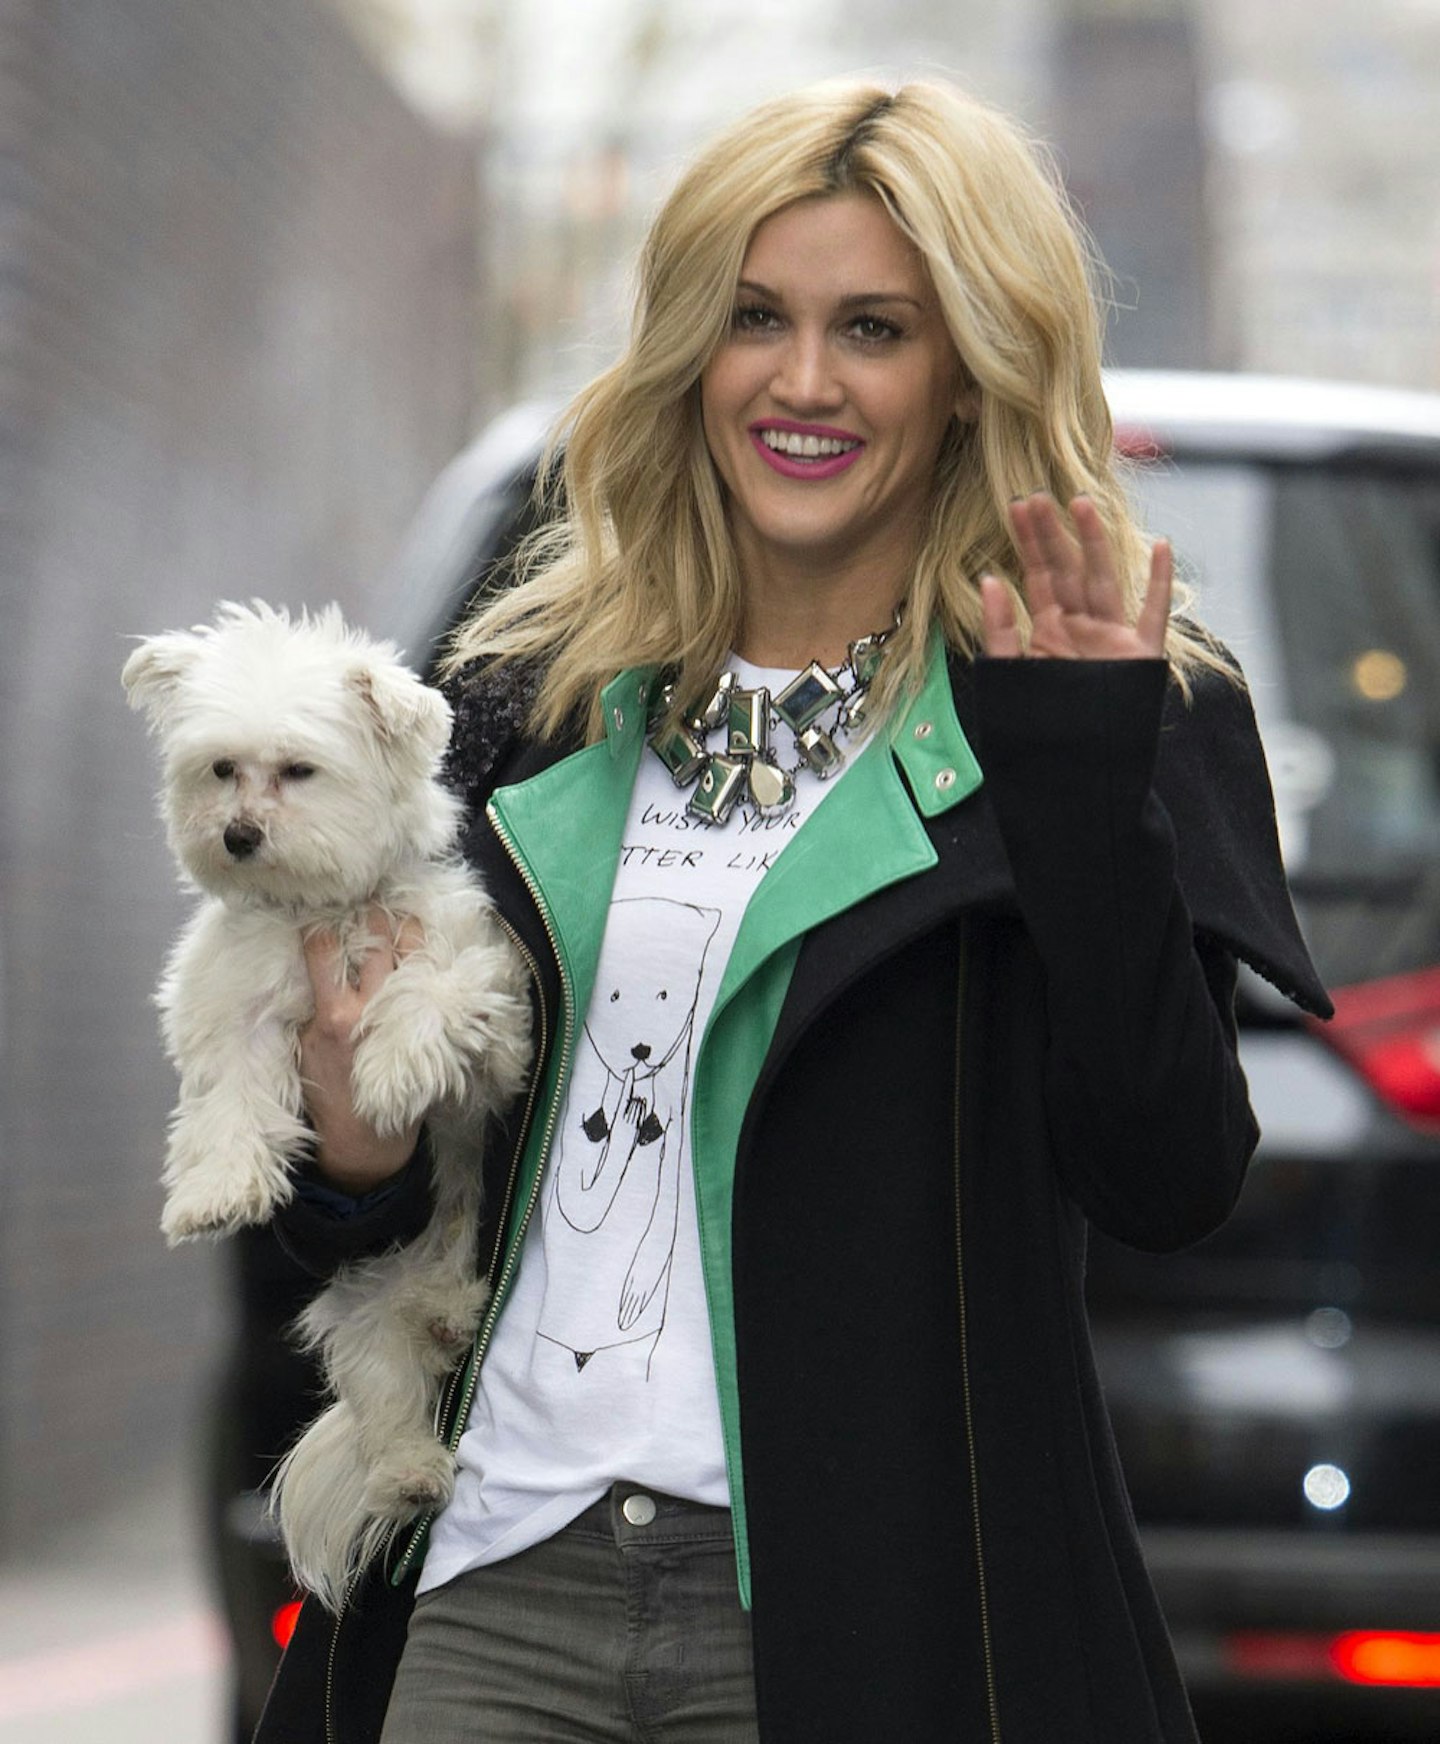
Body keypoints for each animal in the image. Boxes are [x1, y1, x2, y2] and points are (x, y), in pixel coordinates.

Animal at [124, 603, 533, 1604]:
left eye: (299, 771)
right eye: (221, 769)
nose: (236, 834)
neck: (330, 908)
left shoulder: (488, 1002)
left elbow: (430, 996)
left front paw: (388, 1069)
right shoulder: (238, 1012)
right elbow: (230, 1103)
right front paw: (216, 1192)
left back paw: (450, 1313)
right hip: (361, 1306)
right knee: (387, 1394)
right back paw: (411, 1464)